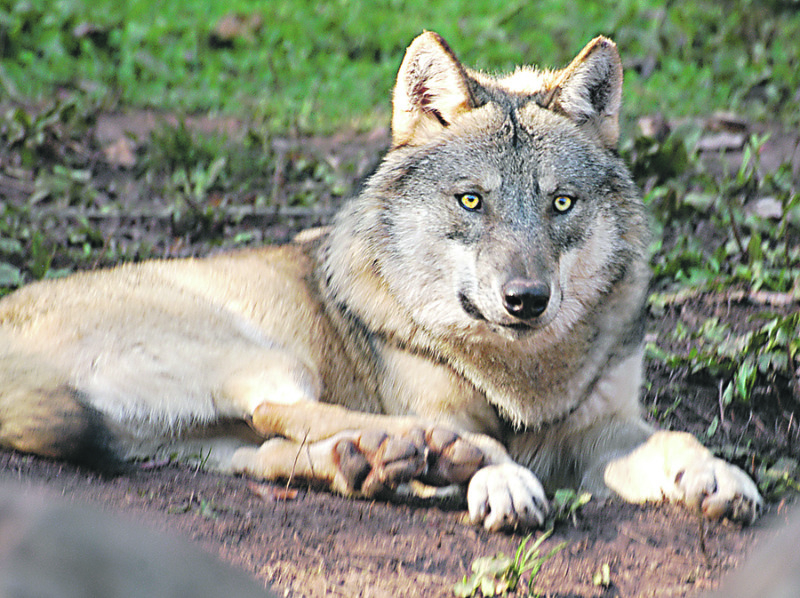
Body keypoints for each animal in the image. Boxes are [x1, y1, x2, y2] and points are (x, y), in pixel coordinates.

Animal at [0, 32, 764, 532]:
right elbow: (476, 437)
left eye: (561, 204)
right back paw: (427, 456)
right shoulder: (454, 405)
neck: (520, 378)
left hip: (210, 443)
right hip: (259, 356)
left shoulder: (602, 430)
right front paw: (498, 477)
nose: (526, 300)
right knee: (287, 411)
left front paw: (717, 474)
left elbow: (675, 439)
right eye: (471, 201)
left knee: (275, 449)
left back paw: (373, 465)